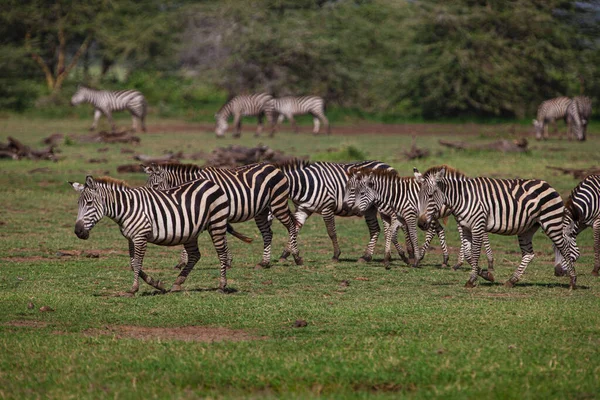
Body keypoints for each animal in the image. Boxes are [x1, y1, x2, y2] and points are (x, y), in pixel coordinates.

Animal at [70, 177, 237, 296]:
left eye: (90, 203)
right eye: (78, 203)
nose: (78, 231)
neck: (127, 208)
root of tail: (211, 183)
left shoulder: (140, 237)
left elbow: (137, 263)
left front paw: (133, 289)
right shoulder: (131, 238)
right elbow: (133, 263)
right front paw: (158, 284)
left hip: (217, 223)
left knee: (221, 253)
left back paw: (222, 285)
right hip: (191, 232)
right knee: (195, 255)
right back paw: (177, 283)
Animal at [145, 162, 302, 268]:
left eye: (156, 186)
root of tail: (273, 166)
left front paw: (183, 262)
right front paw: (227, 260)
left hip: (278, 203)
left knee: (291, 226)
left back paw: (296, 256)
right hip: (261, 211)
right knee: (267, 233)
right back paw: (264, 262)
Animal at [344, 167, 494, 270]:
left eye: (361, 193)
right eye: (354, 191)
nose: (354, 210)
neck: (395, 195)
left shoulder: (408, 215)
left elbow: (412, 235)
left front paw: (414, 259)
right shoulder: (394, 216)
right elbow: (390, 234)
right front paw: (388, 259)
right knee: (443, 230)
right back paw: (451, 261)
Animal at [414, 164, 580, 290]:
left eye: (430, 195)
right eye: (419, 197)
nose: (421, 224)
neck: (463, 198)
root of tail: (548, 185)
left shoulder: (477, 225)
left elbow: (475, 253)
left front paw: (472, 279)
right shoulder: (466, 227)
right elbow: (468, 254)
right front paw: (486, 275)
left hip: (551, 222)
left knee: (565, 248)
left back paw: (573, 281)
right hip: (527, 228)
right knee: (528, 254)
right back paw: (512, 280)